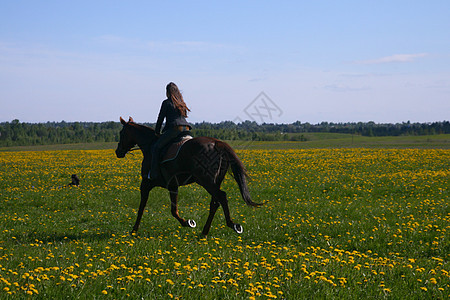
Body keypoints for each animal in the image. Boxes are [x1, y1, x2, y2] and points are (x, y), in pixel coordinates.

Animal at [114, 116, 262, 236]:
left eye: (121, 133)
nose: (118, 152)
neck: (150, 146)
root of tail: (217, 143)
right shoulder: (173, 185)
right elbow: (172, 210)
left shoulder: (146, 183)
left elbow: (142, 207)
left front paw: (134, 230)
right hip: (214, 181)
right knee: (215, 203)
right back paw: (205, 232)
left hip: (206, 181)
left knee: (221, 196)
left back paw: (232, 224)